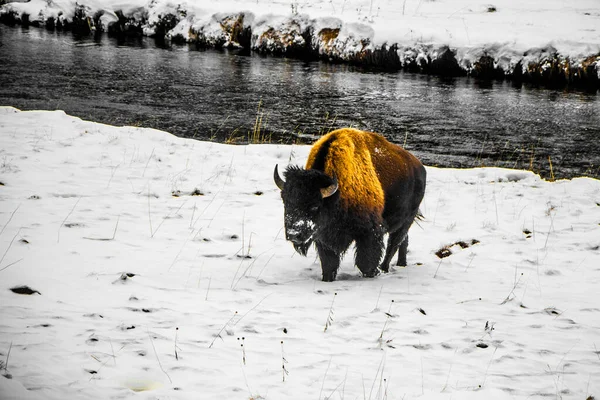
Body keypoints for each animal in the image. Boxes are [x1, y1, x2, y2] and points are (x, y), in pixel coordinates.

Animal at [274, 128, 424, 282]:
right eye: (285, 201)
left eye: (315, 205)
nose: (293, 234)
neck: (337, 193)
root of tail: (419, 167)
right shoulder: (324, 238)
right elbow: (329, 265)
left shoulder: (370, 232)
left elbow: (366, 263)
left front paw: (373, 273)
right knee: (402, 241)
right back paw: (401, 264)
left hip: (406, 221)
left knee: (393, 245)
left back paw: (384, 268)